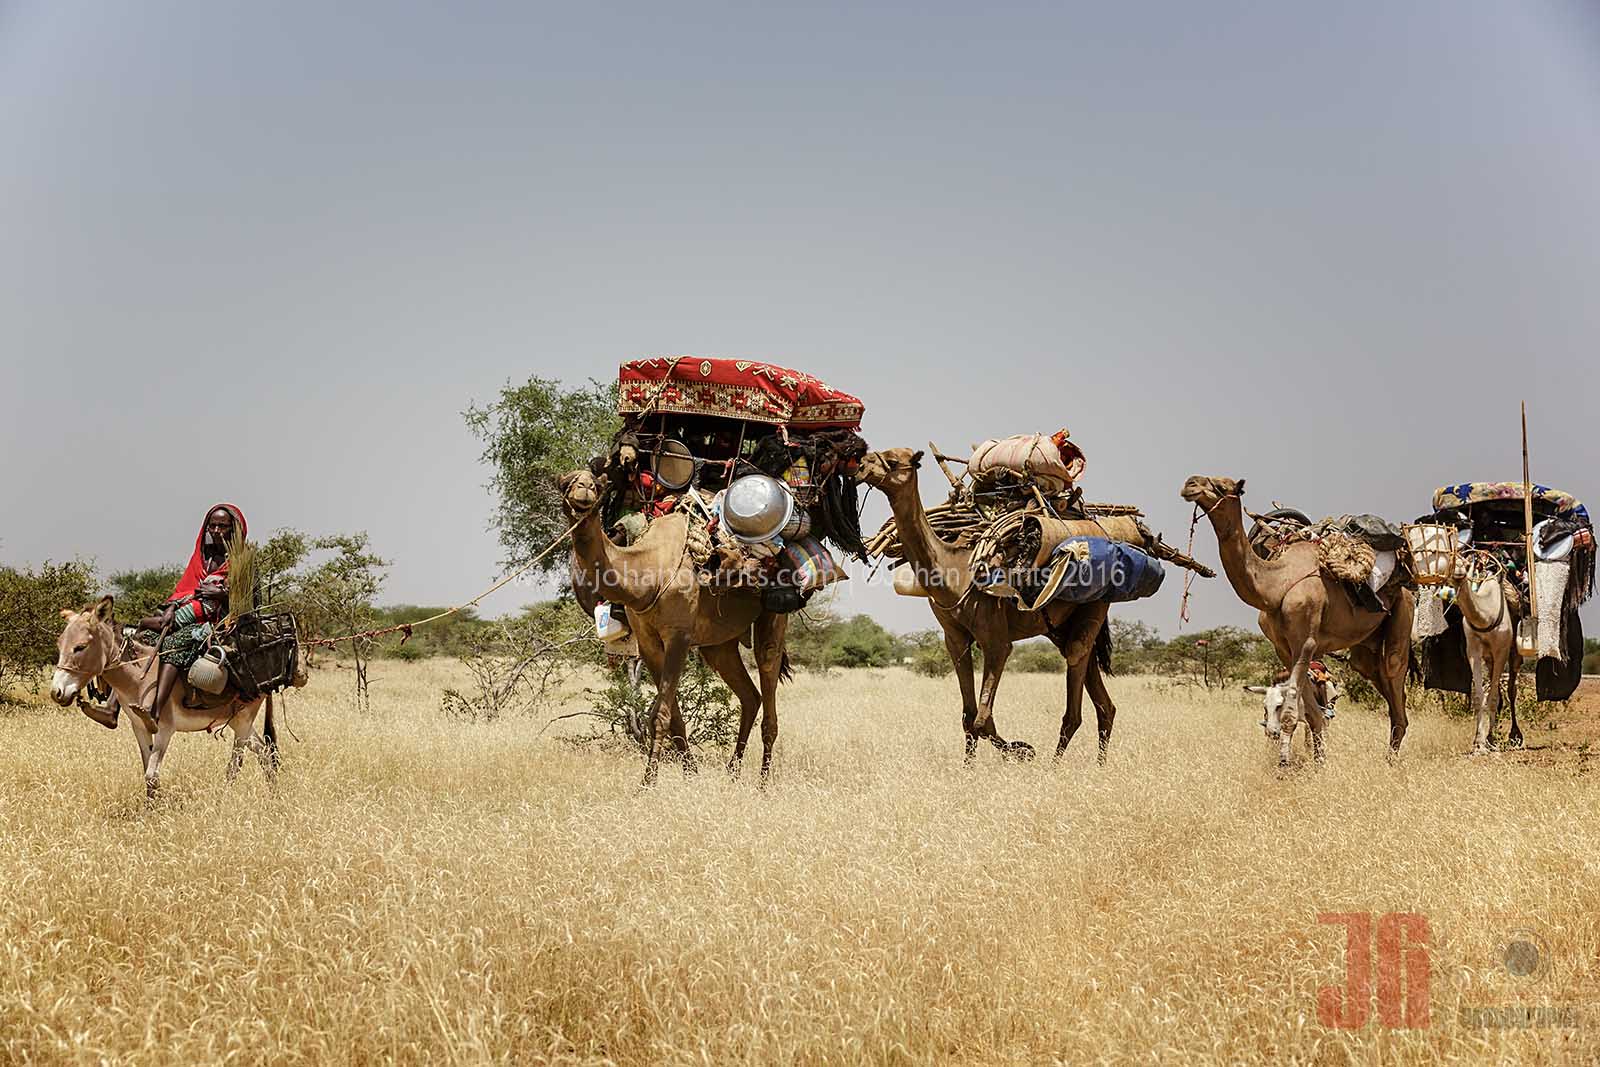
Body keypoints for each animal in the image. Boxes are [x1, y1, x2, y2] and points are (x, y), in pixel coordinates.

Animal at [48, 598, 280, 796]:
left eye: (80, 647)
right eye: (59, 645)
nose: (56, 692)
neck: (137, 677)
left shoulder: (165, 729)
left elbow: (152, 775)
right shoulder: (139, 728)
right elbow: (147, 772)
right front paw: (150, 811)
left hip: (242, 718)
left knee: (238, 761)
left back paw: (227, 798)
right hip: (236, 721)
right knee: (264, 751)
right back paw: (272, 796)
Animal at [560, 470, 790, 790]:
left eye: (596, 484)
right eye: (565, 483)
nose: (581, 490)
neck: (649, 570)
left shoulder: (679, 635)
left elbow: (660, 713)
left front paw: (647, 783)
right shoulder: (647, 641)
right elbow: (674, 714)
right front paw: (690, 774)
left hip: (773, 615)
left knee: (768, 679)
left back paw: (763, 783)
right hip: (719, 643)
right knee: (749, 696)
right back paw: (732, 772)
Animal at [864, 447, 1113, 764]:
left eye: (893, 461)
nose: (860, 464)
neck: (952, 571)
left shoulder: (997, 641)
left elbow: (983, 719)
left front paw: (1023, 750)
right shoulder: (955, 640)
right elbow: (969, 716)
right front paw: (969, 767)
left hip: (1093, 607)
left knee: (1076, 699)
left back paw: (1055, 766)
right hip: (1060, 628)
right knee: (1104, 702)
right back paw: (1099, 765)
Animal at [1177, 476, 1414, 767]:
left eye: (1223, 486)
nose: (1190, 484)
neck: (1277, 584)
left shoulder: (1306, 642)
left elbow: (1292, 712)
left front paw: (1285, 765)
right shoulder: (1283, 648)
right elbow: (1312, 713)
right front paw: (1318, 763)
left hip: (1402, 619)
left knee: (1396, 686)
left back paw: (1390, 762)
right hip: (1366, 649)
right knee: (1382, 687)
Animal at [1452, 556, 1523, 755]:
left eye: (1463, 564)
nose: (1458, 574)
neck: (1486, 616)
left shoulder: (1501, 650)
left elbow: (1492, 698)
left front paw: (1489, 739)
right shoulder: (1473, 651)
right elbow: (1479, 696)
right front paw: (1478, 742)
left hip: (1513, 653)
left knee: (1511, 688)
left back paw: (1514, 736)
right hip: (1490, 659)